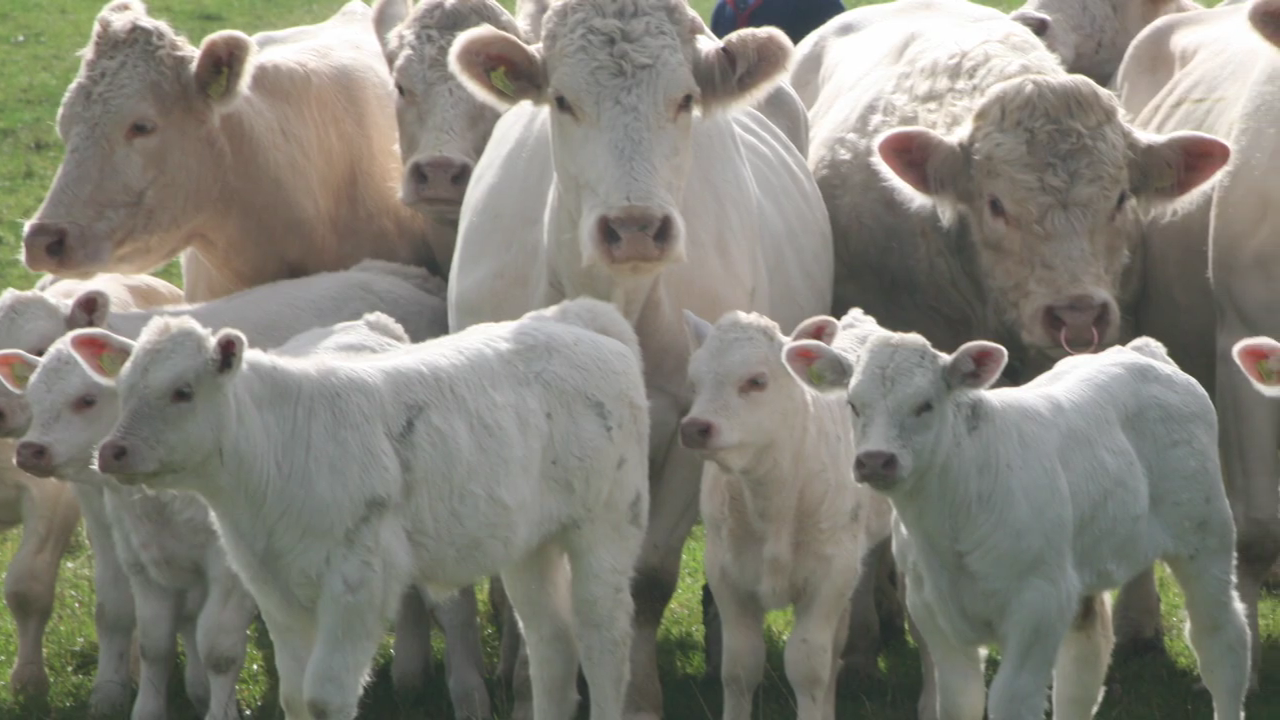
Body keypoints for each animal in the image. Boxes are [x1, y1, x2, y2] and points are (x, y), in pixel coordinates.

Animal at [79, 297, 650, 720]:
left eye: (183, 391)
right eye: (121, 388)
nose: (111, 451)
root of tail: (579, 319)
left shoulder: (359, 583)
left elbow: (324, 697)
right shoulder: (274, 588)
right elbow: (293, 696)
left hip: (606, 529)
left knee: (604, 643)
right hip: (530, 546)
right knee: (552, 645)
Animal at [445, 0, 834, 715]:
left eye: (684, 100)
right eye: (562, 100)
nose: (633, 228)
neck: (616, 298)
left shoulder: (692, 427)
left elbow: (648, 581)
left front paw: (639, 696)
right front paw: (530, 687)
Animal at [784, 313, 1249, 720]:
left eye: (925, 405)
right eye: (853, 404)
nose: (875, 460)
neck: (951, 516)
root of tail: (1141, 353)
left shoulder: (1038, 603)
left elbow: (1011, 700)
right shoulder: (931, 609)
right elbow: (960, 702)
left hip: (1205, 538)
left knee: (1221, 645)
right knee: (1083, 665)